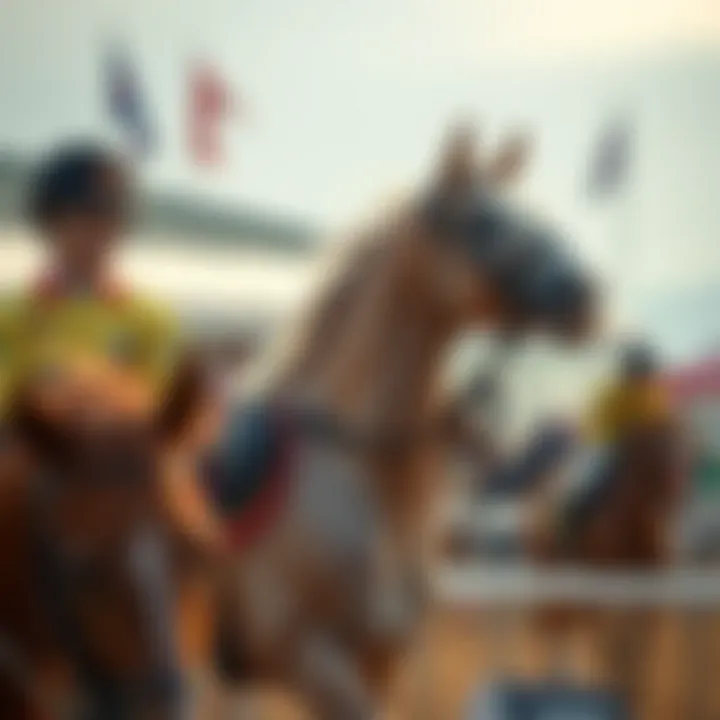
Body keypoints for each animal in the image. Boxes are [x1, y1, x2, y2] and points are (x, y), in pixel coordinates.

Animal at [200, 124, 598, 719]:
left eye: (532, 211)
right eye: (480, 221)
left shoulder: (381, 660)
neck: (350, 462)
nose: (586, 296)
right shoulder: (303, 656)